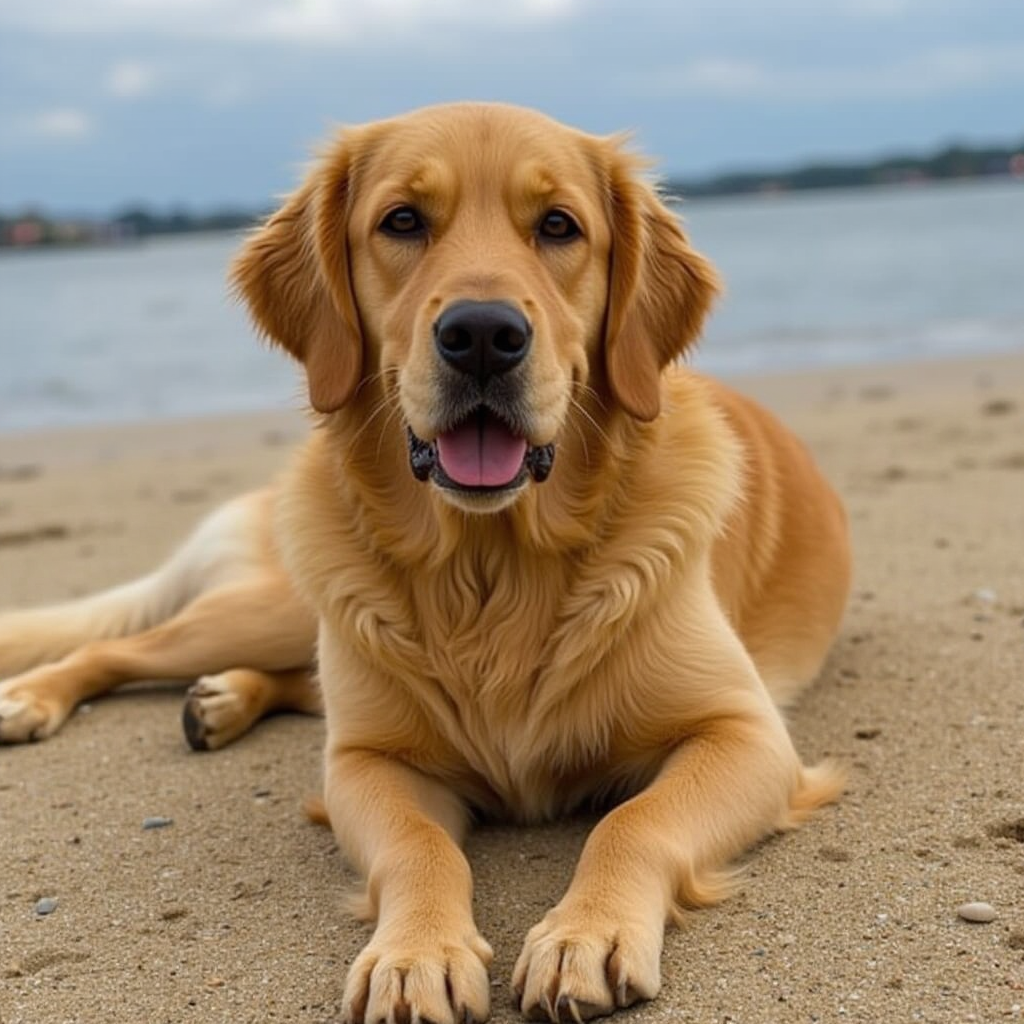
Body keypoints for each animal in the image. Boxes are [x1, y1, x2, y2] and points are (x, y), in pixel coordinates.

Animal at [0, 103, 847, 1024]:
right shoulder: (367, 762)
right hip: (281, 608)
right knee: (116, 647)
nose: (482, 335)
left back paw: (218, 700)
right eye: (402, 221)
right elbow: (416, 844)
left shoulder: (745, 731)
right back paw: (36, 699)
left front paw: (583, 933)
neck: (490, 567)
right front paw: (417, 954)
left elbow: (634, 821)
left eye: (559, 226)